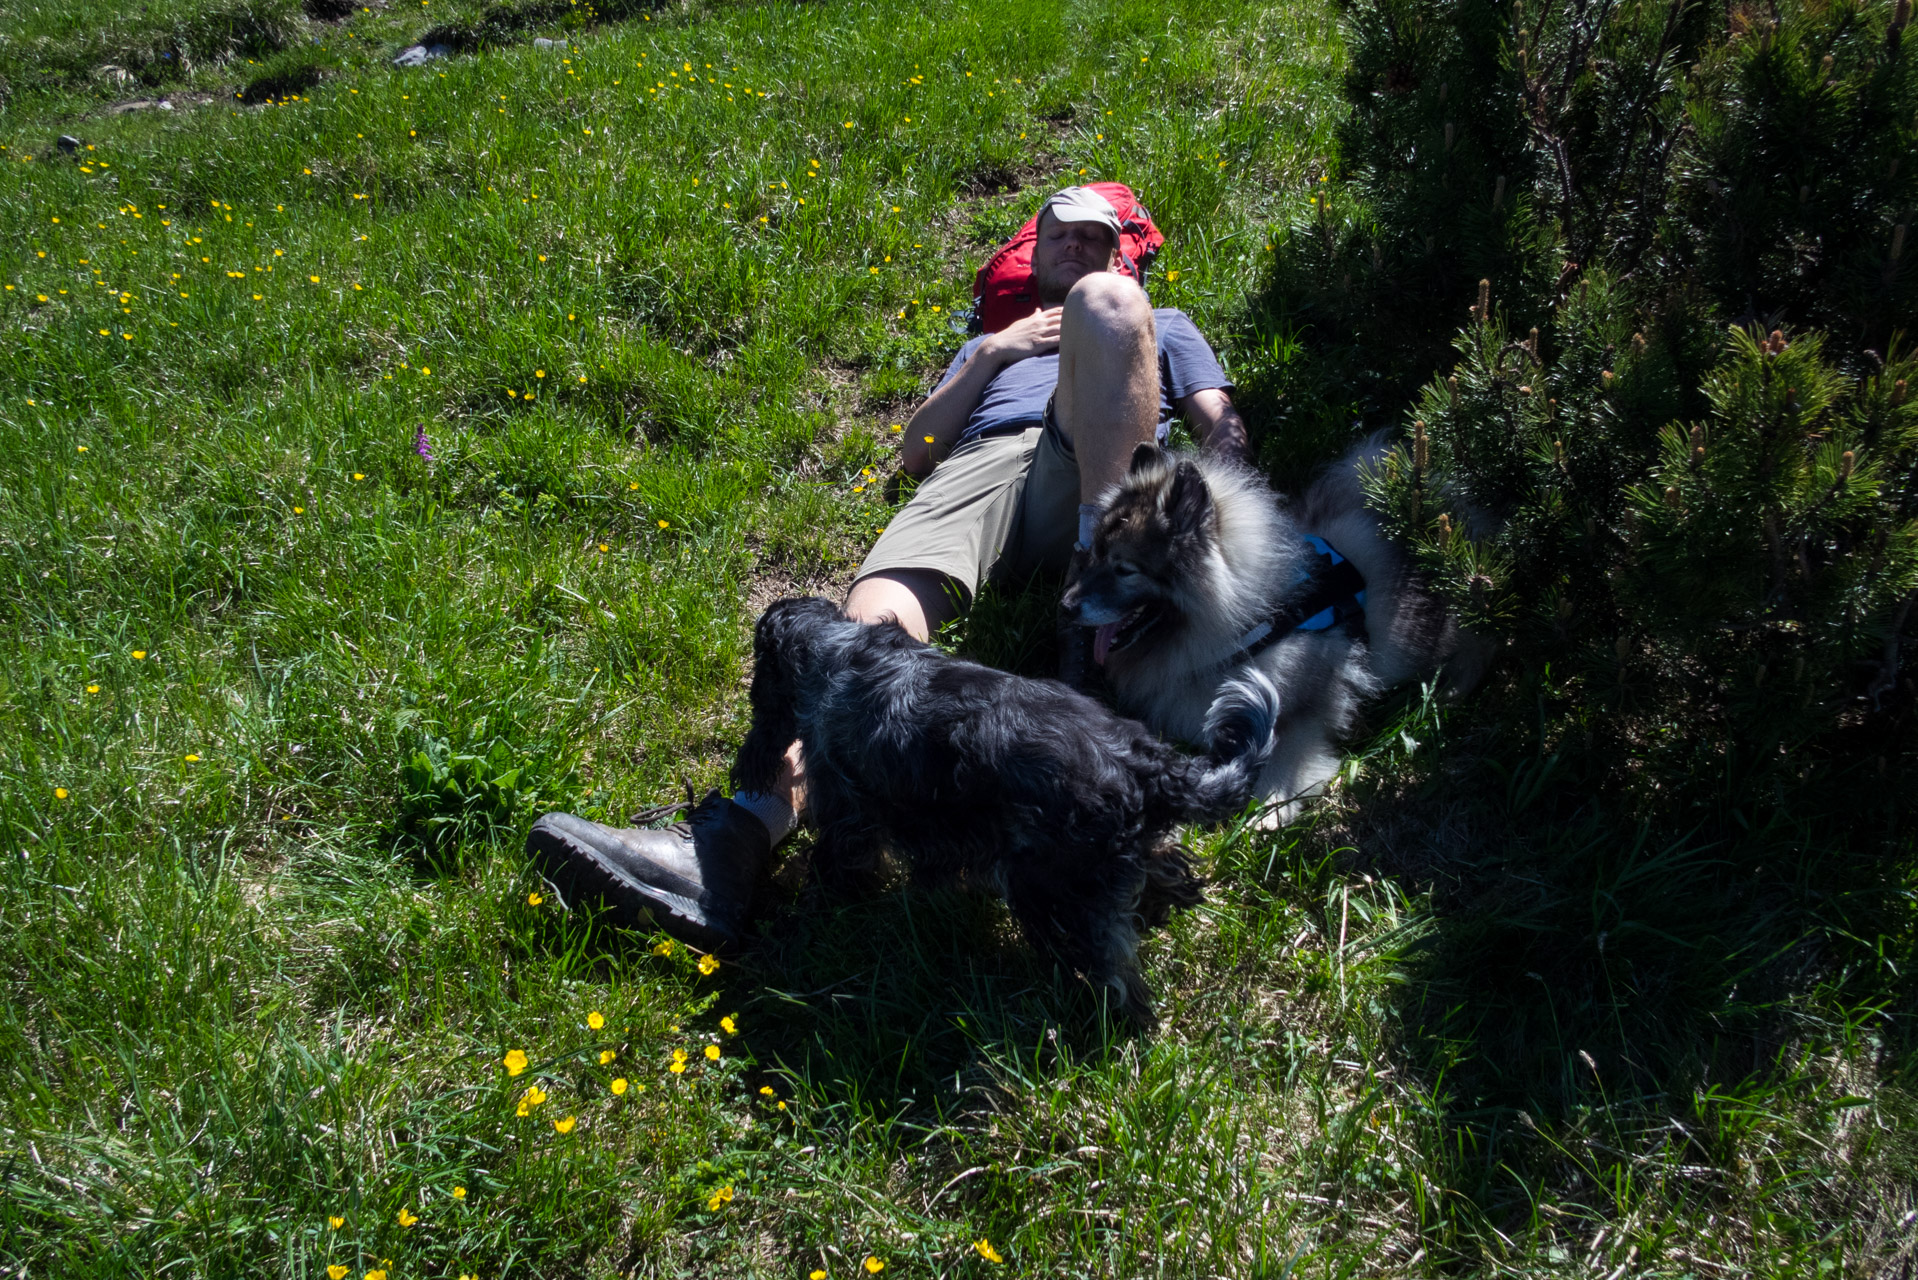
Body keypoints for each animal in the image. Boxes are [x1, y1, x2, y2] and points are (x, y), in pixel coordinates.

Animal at [725, 594, 1281, 1028]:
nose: (747, 771)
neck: (834, 650)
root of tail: (1145, 764)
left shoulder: (849, 815)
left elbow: (833, 870)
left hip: (1050, 893)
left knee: (1118, 977)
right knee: (1169, 874)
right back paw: (1158, 910)